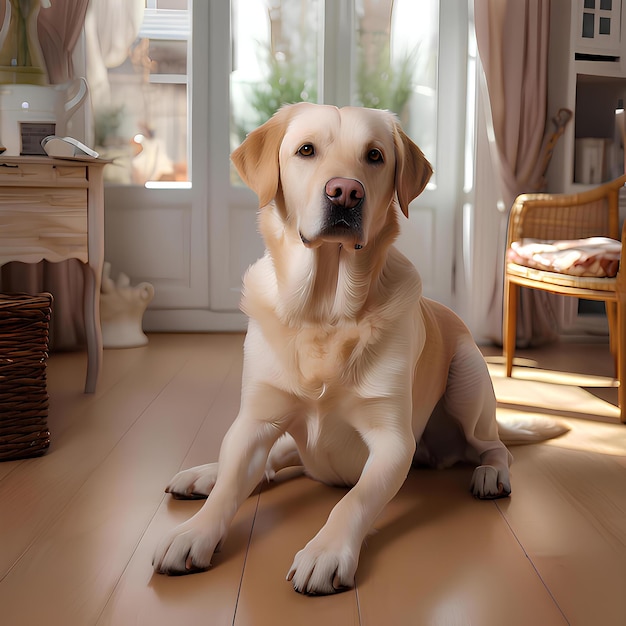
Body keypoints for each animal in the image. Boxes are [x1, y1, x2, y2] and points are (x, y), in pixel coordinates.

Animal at [152, 105, 528, 592]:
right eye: (306, 150)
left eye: (375, 155)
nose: (346, 192)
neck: (324, 312)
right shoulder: (255, 422)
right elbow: (232, 484)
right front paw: (194, 531)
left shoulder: (393, 441)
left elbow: (355, 500)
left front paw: (325, 552)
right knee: (273, 458)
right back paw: (203, 475)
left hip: (467, 376)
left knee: (494, 444)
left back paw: (491, 473)